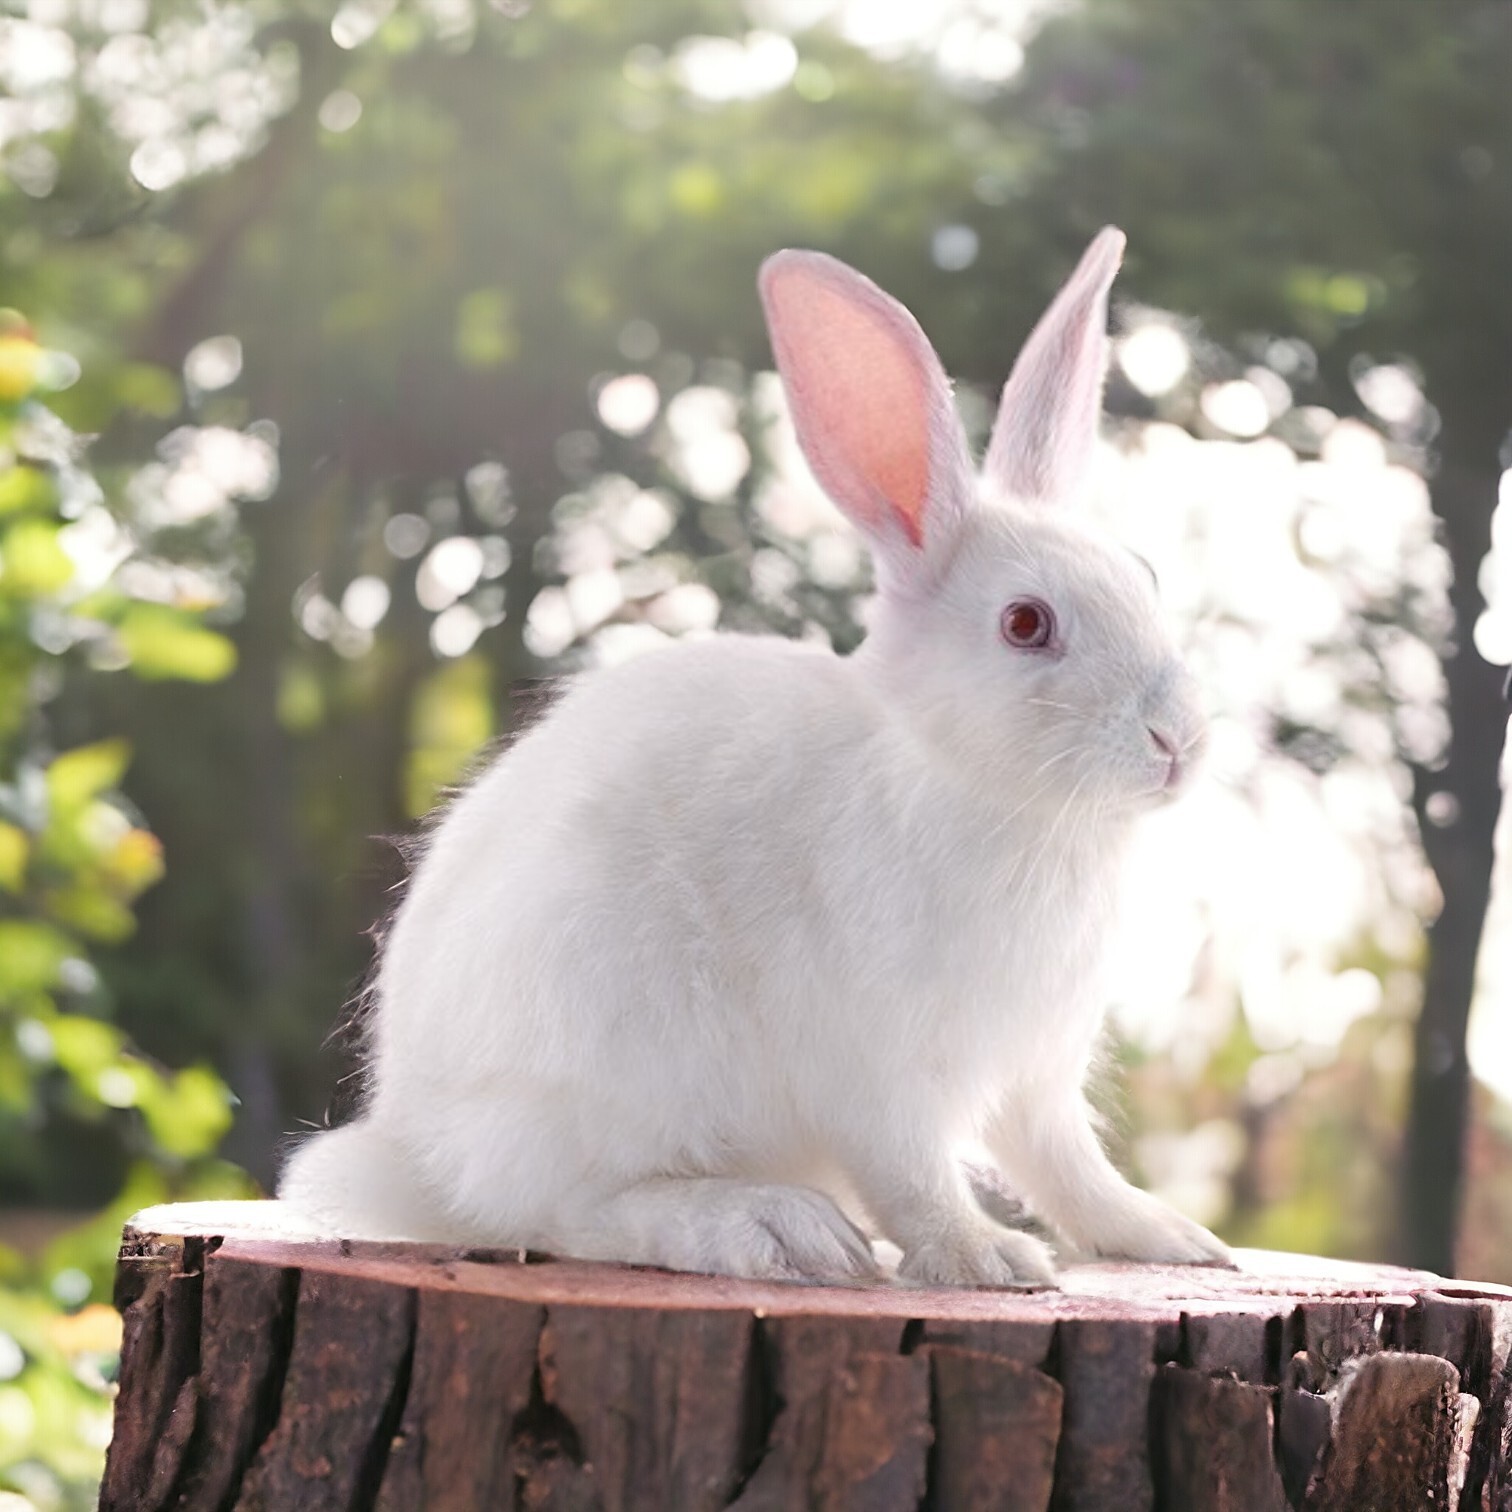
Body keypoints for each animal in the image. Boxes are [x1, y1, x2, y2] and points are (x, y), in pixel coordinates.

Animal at [276, 226, 1232, 1287]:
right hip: (603, 1035)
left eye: (1143, 578)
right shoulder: (875, 1074)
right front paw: (987, 1260)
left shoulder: (1038, 1076)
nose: (1177, 740)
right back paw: (771, 1228)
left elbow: (1070, 1168)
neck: (974, 784)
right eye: (1026, 624)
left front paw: (1173, 1239)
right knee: (566, 1210)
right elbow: (912, 1177)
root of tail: (414, 1158)